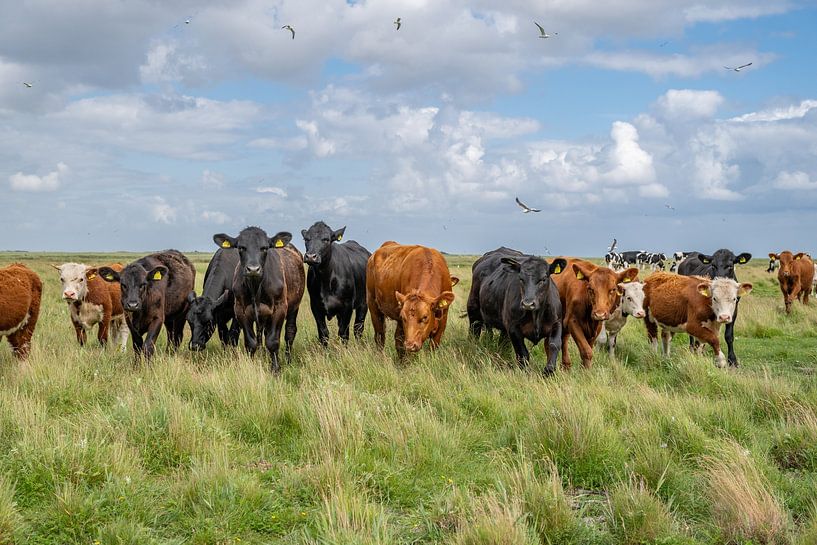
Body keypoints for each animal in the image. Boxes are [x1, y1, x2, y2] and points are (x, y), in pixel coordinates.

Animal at [213, 227, 305, 372]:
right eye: (241, 247)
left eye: (265, 248)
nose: (253, 269)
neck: (256, 288)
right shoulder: (240, 310)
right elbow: (251, 342)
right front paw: (251, 366)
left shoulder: (279, 308)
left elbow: (273, 341)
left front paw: (275, 369)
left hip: (294, 306)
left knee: (290, 332)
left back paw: (288, 360)